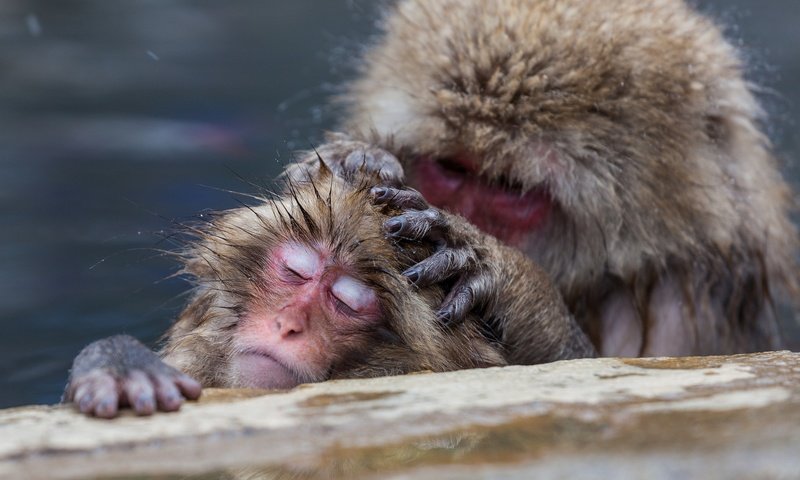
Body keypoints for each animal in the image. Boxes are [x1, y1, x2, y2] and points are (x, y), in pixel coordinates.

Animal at [290, 0, 800, 356]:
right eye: (453, 169)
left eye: (510, 190)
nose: (459, 211)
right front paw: (360, 155)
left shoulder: (680, 295)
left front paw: (507, 279)